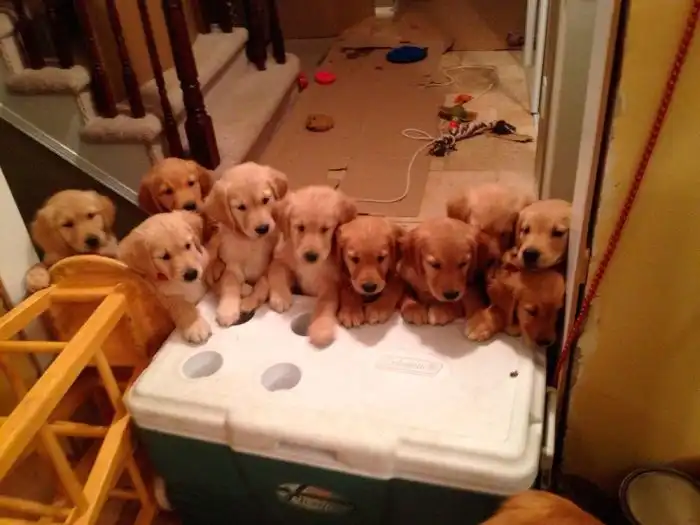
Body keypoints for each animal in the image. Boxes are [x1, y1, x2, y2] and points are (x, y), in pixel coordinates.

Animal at [117, 211, 211, 344]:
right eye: (165, 256)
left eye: (188, 245)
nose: (191, 274)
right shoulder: (165, 297)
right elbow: (182, 305)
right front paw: (195, 325)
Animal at [202, 163, 288, 327]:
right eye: (241, 207)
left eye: (266, 199)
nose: (263, 228)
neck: (250, 242)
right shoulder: (232, 266)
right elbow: (229, 284)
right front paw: (227, 310)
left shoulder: (267, 267)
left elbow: (263, 284)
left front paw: (249, 302)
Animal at [268, 185, 357, 347]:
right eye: (300, 227)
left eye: (325, 228)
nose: (311, 256)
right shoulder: (281, 260)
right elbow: (276, 273)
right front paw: (280, 297)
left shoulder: (329, 283)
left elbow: (324, 304)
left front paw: (321, 330)